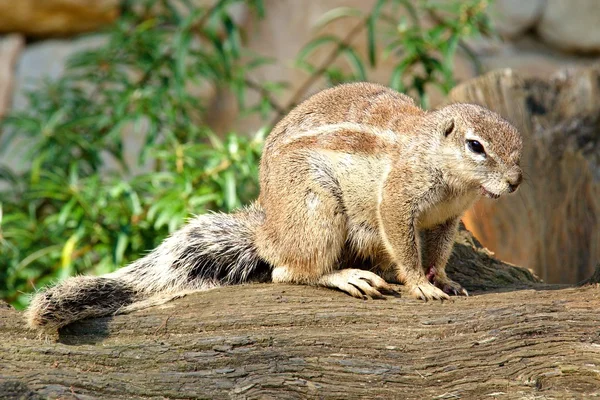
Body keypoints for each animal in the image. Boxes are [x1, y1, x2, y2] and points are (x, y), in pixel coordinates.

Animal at [25, 81, 524, 332]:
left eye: (519, 146)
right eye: (476, 146)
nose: (516, 182)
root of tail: (269, 231)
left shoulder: (447, 218)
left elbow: (438, 250)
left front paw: (445, 279)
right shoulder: (398, 200)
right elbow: (404, 242)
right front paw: (420, 284)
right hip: (317, 208)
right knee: (289, 271)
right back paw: (347, 276)